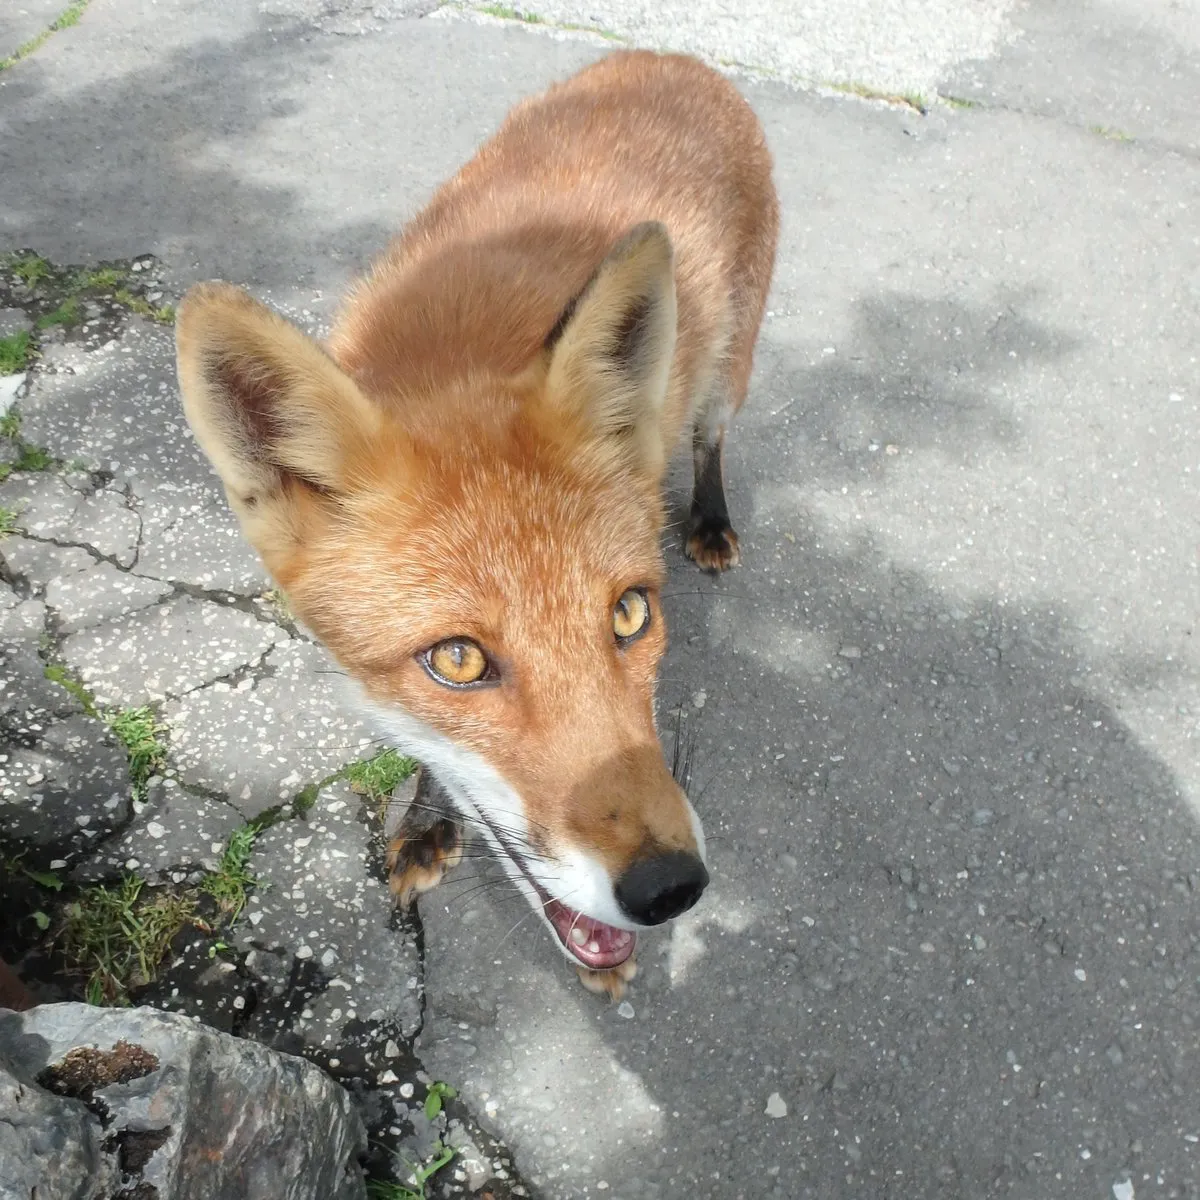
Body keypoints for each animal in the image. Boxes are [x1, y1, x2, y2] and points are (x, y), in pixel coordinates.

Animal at [175, 49, 778, 1000]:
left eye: (629, 615)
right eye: (457, 661)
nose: (670, 888)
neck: (454, 363)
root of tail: (668, 58)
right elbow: (430, 753)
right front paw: (432, 817)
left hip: (730, 364)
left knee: (709, 433)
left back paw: (710, 519)